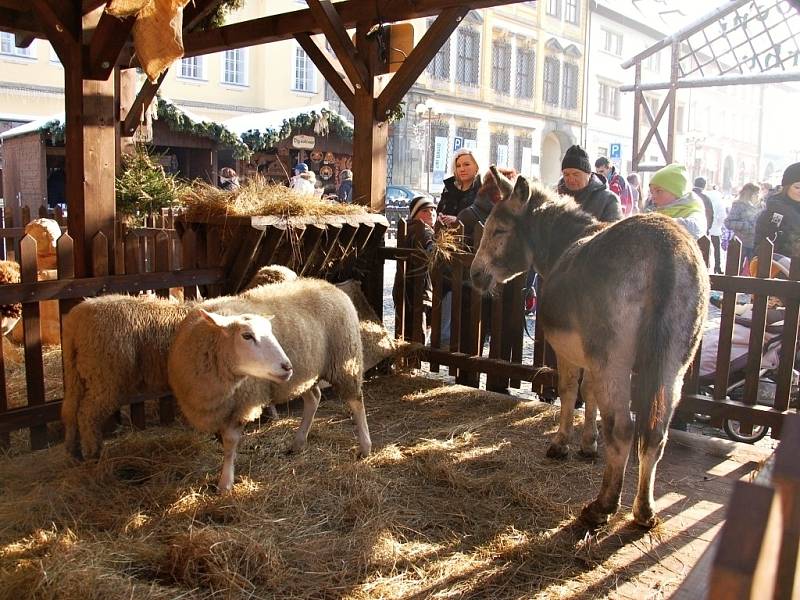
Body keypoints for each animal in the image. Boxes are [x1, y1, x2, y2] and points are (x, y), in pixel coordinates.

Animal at [59, 264, 296, 458]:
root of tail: (75, 318)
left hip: (77, 371)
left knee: (70, 409)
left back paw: (72, 451)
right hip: (104, 374)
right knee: (87, 414)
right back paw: (93, 453)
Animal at [170, 276, 374, 492]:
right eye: (246, 335)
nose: (287, 366)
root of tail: (328, 285)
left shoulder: (242, 404)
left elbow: (230, 443)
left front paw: (225, 483)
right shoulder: (219, 407)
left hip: (345, 361)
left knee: (356, 401)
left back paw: (365, 447)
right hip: (303, 373)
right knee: (314, 398)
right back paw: (298, 443)